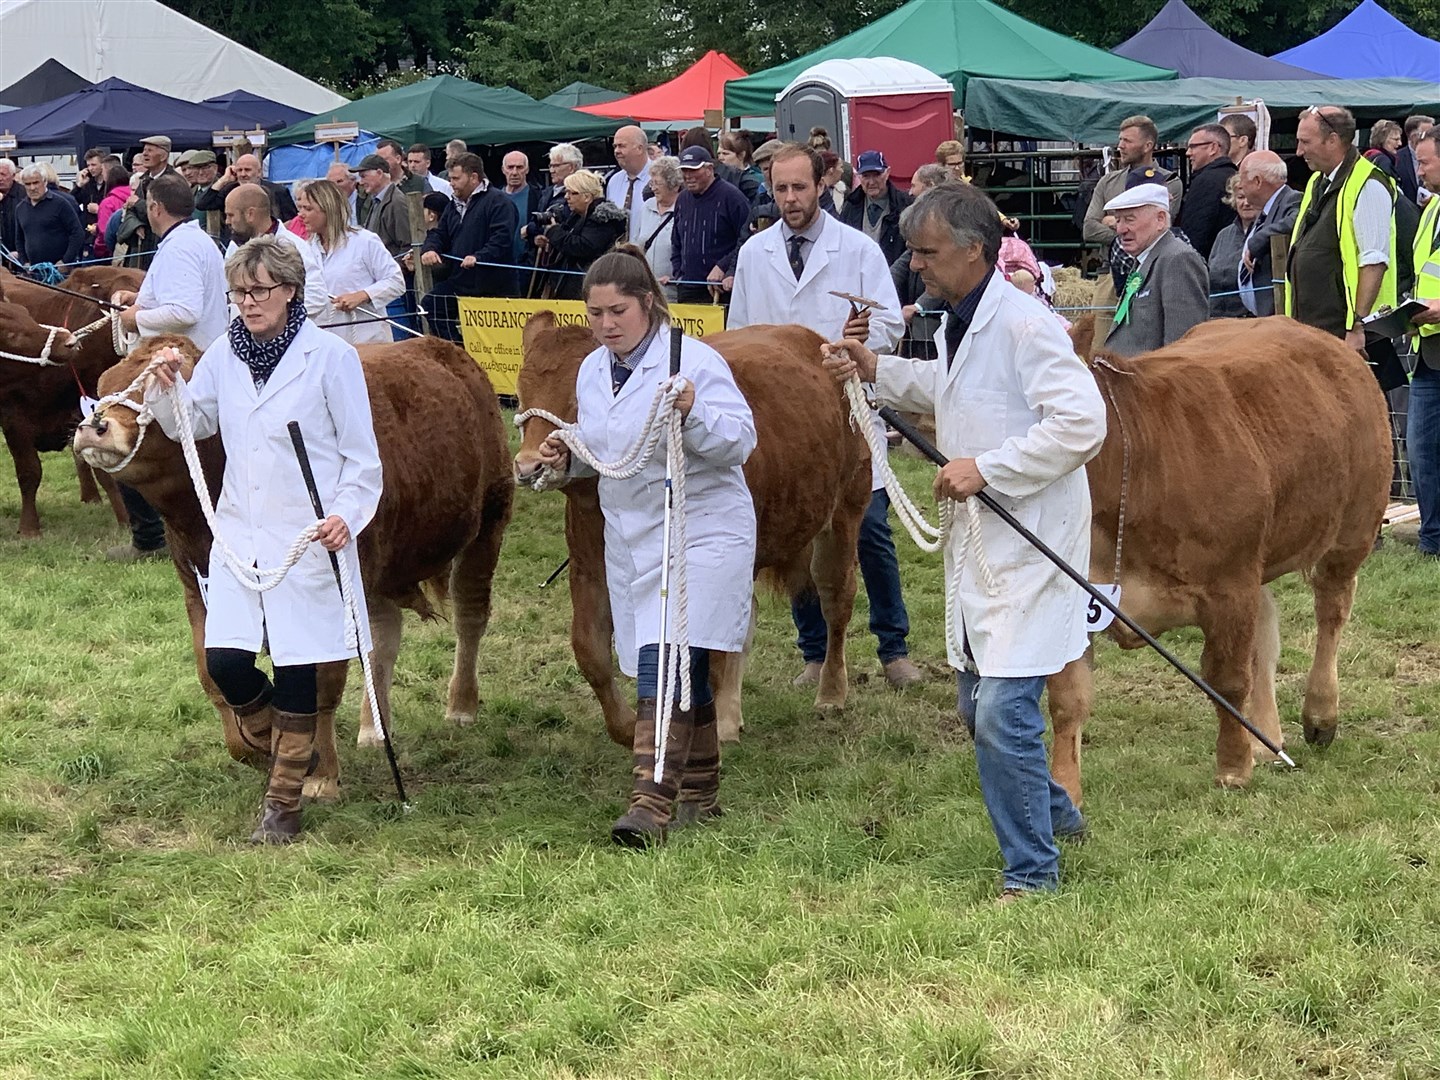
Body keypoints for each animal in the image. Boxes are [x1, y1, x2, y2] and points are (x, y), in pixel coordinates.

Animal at [74, 334, 512, 800]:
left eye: (174, 383)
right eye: (101, 387)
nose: (93, 427)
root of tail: (442, 347)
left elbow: (319, 685)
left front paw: (320, 774)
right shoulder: (197, 589)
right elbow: (214, 675)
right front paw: (258, 740)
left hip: (489, 521)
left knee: (469, 617)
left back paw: (461, 705)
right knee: (383, 637)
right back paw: (373, 728)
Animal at [515, 316, 869, 748]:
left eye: (574, 400)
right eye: (521, 393)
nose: (528, 465)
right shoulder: (589, 568)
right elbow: (590, 650)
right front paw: (630, 727)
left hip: (844, 514)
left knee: (836, 600)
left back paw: (831, 692)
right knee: (743, 624)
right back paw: (731, 715)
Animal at [1048, 315, 1393, 806]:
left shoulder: (1228, 587)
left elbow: (1227, 679)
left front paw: (1233, 768)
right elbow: (1067, 698)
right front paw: (1064, 791)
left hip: (1350, 531)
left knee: (1332, 610)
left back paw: (1320, 715)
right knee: (1266, 628)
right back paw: (1266, 738)